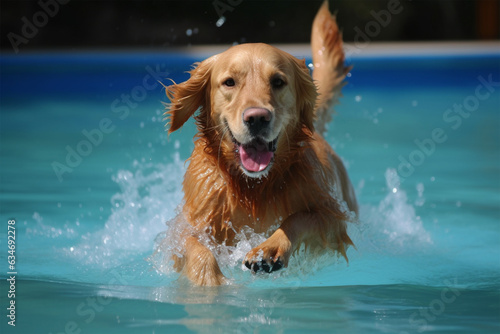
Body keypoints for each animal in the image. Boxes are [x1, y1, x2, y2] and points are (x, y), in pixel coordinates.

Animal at [163, 1, 356, 286]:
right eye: (229, 82)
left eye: (278, 82)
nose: (257, 118)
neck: (252, 187)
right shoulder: (182, 230)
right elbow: (197, 249)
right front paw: (211, 282)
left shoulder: (334, 220)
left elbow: (299, 218)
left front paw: (269, 248)